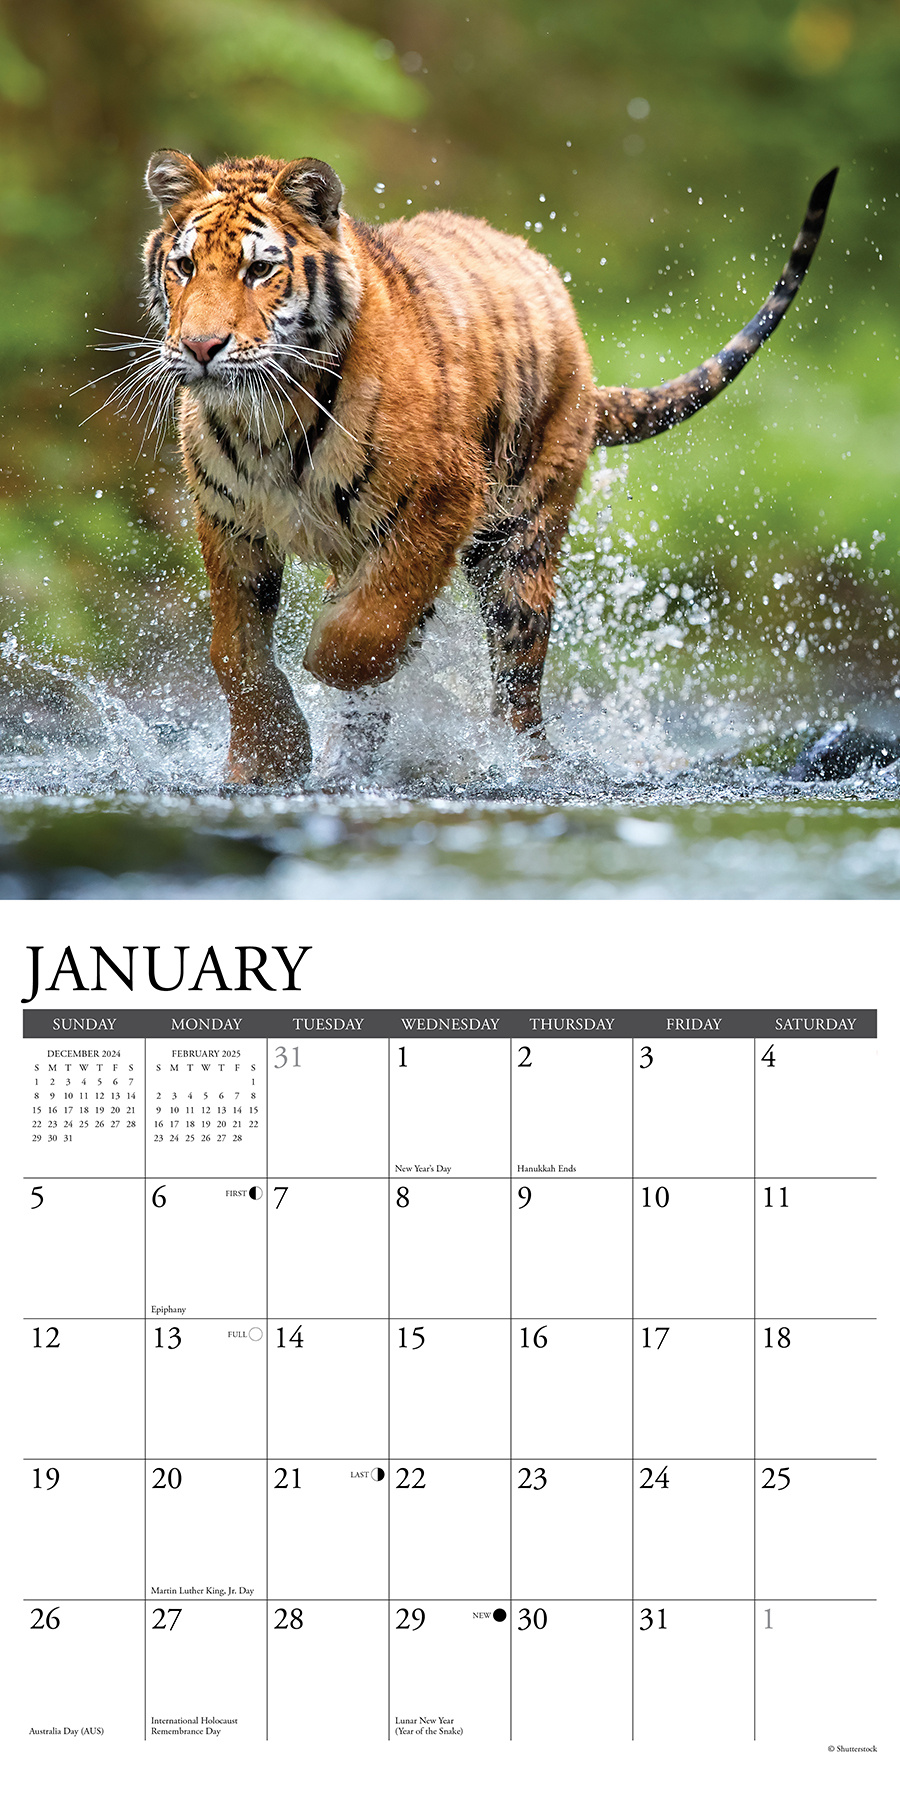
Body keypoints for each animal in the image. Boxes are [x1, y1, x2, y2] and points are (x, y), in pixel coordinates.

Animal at [140, 150, 836, 785]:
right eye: (184, 267)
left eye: (260, 270)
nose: (201, 347)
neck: (265, 418)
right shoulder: (230, 526)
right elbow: (235, 652)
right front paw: (264, 762)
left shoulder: (439, 502)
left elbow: (364, 635)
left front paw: (321, 651)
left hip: (520, 546)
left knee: (518, 684)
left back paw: (522, 767)